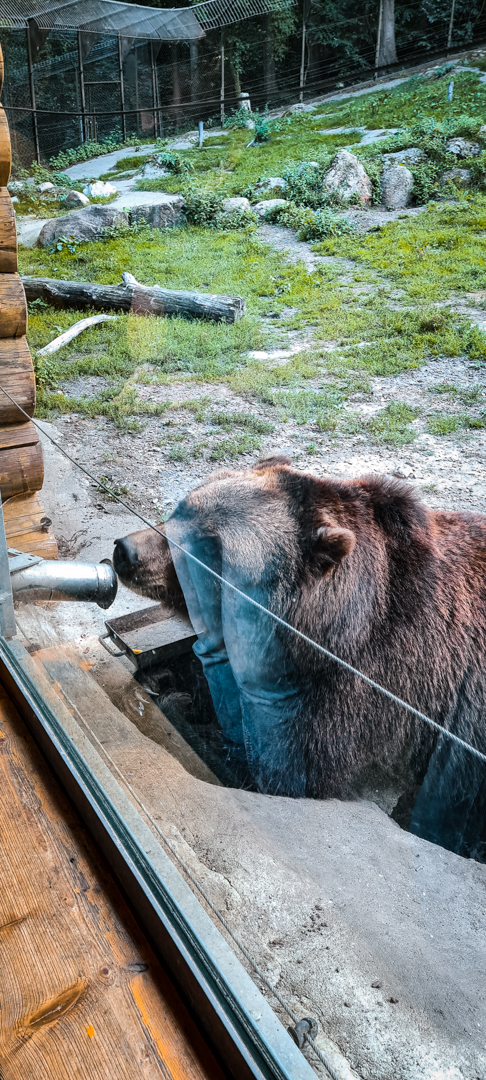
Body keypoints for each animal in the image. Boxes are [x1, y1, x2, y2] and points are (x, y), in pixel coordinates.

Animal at [113, 457, 486, 860]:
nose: (126, 551)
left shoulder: (365, 689)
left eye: (209, 546)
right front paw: (174, 685)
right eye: (182, 507)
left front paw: (181, 705)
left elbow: (288, 771)